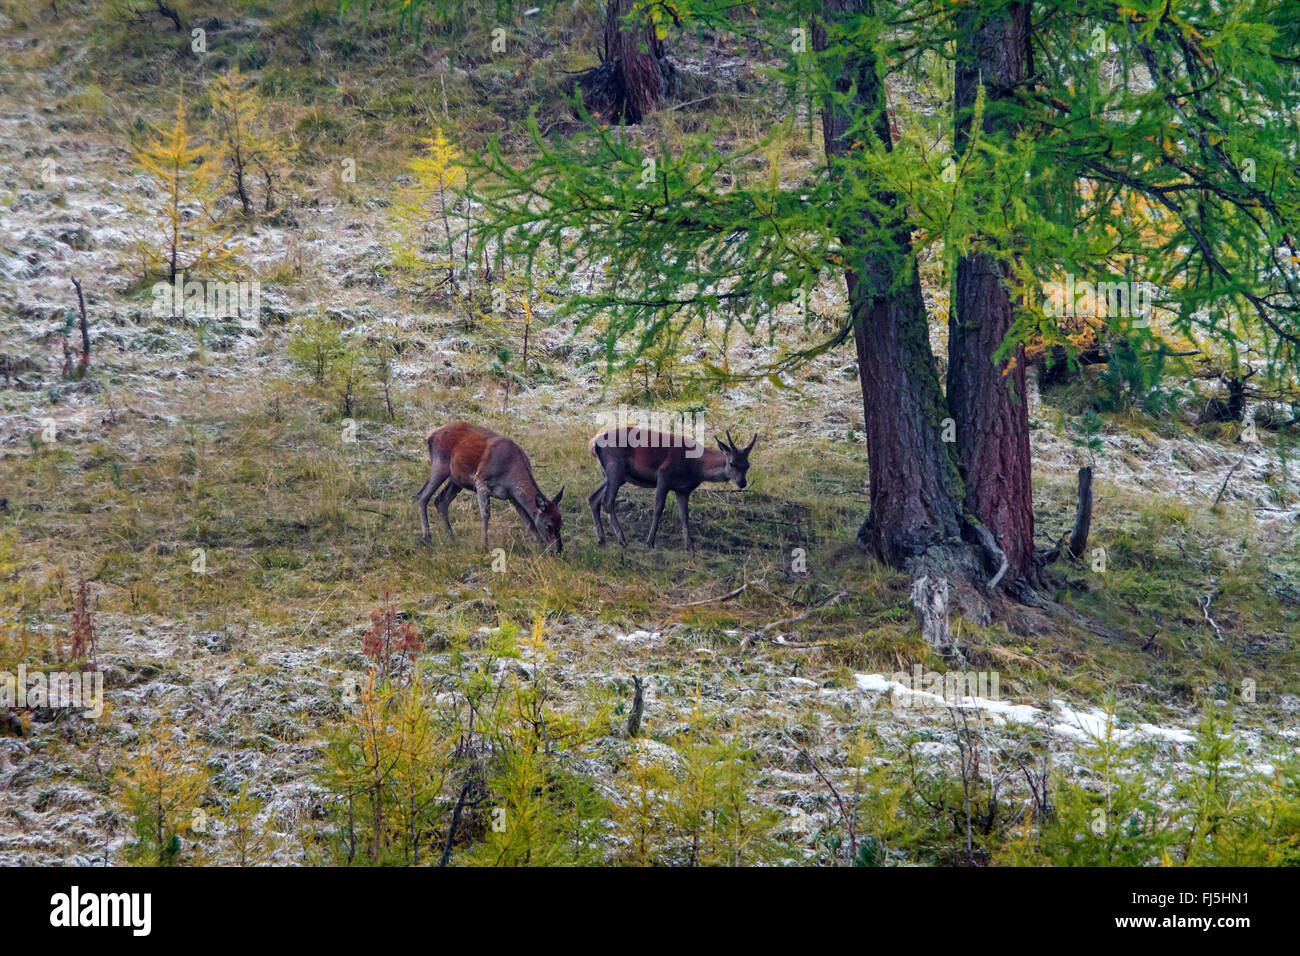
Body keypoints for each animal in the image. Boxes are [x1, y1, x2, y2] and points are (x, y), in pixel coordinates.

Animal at [587, 429, 759, 554]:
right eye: (732, 463)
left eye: (748, 465)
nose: (742, 483)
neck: (694, 467)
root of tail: (594, 443)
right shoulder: (664, 474)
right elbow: (658, 508)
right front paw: (650, 541)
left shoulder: (683, 489)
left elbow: (684, 515)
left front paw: (689, 546)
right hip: (616, 467)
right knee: (607, 501)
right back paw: (622, 539)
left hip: (614, 474)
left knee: (593, 498)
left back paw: (601, 539)